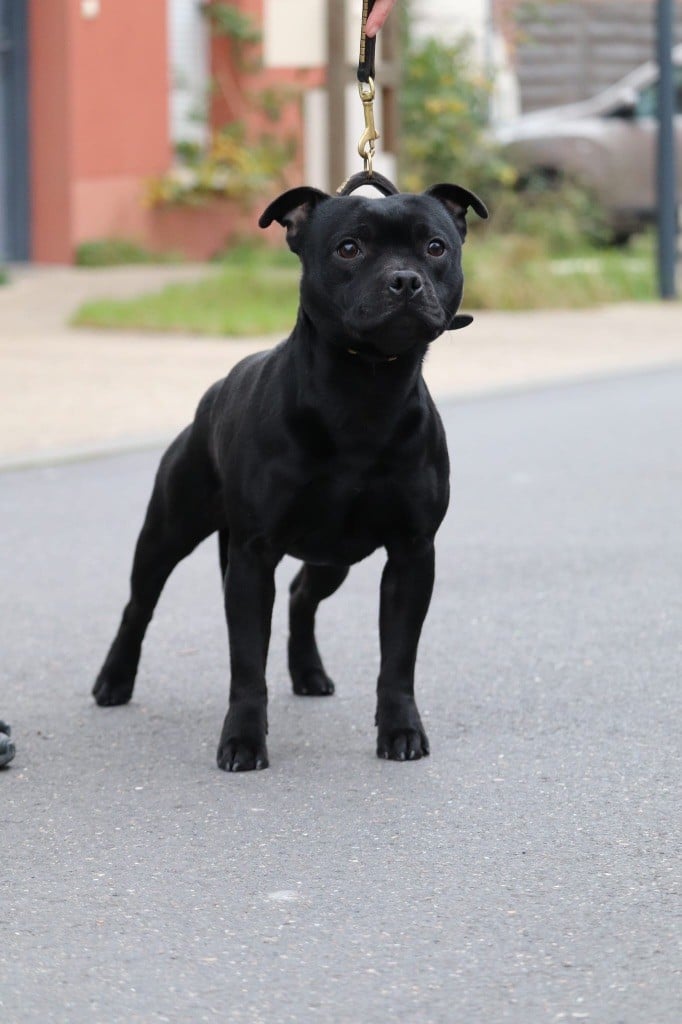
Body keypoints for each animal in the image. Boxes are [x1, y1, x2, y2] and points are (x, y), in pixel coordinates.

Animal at [93, 182, 485, 770]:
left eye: (435, 247)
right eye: (348, 249)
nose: (405, 280)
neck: (364, 390)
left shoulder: (411, 555)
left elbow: (397, 659)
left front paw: (400, 731)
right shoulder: (253, 557)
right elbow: (247, 664)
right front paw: (242, 740)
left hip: (335, 556)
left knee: (302, 595)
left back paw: (308, 673)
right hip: (167, 531)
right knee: (138, 605)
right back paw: (114, 681)